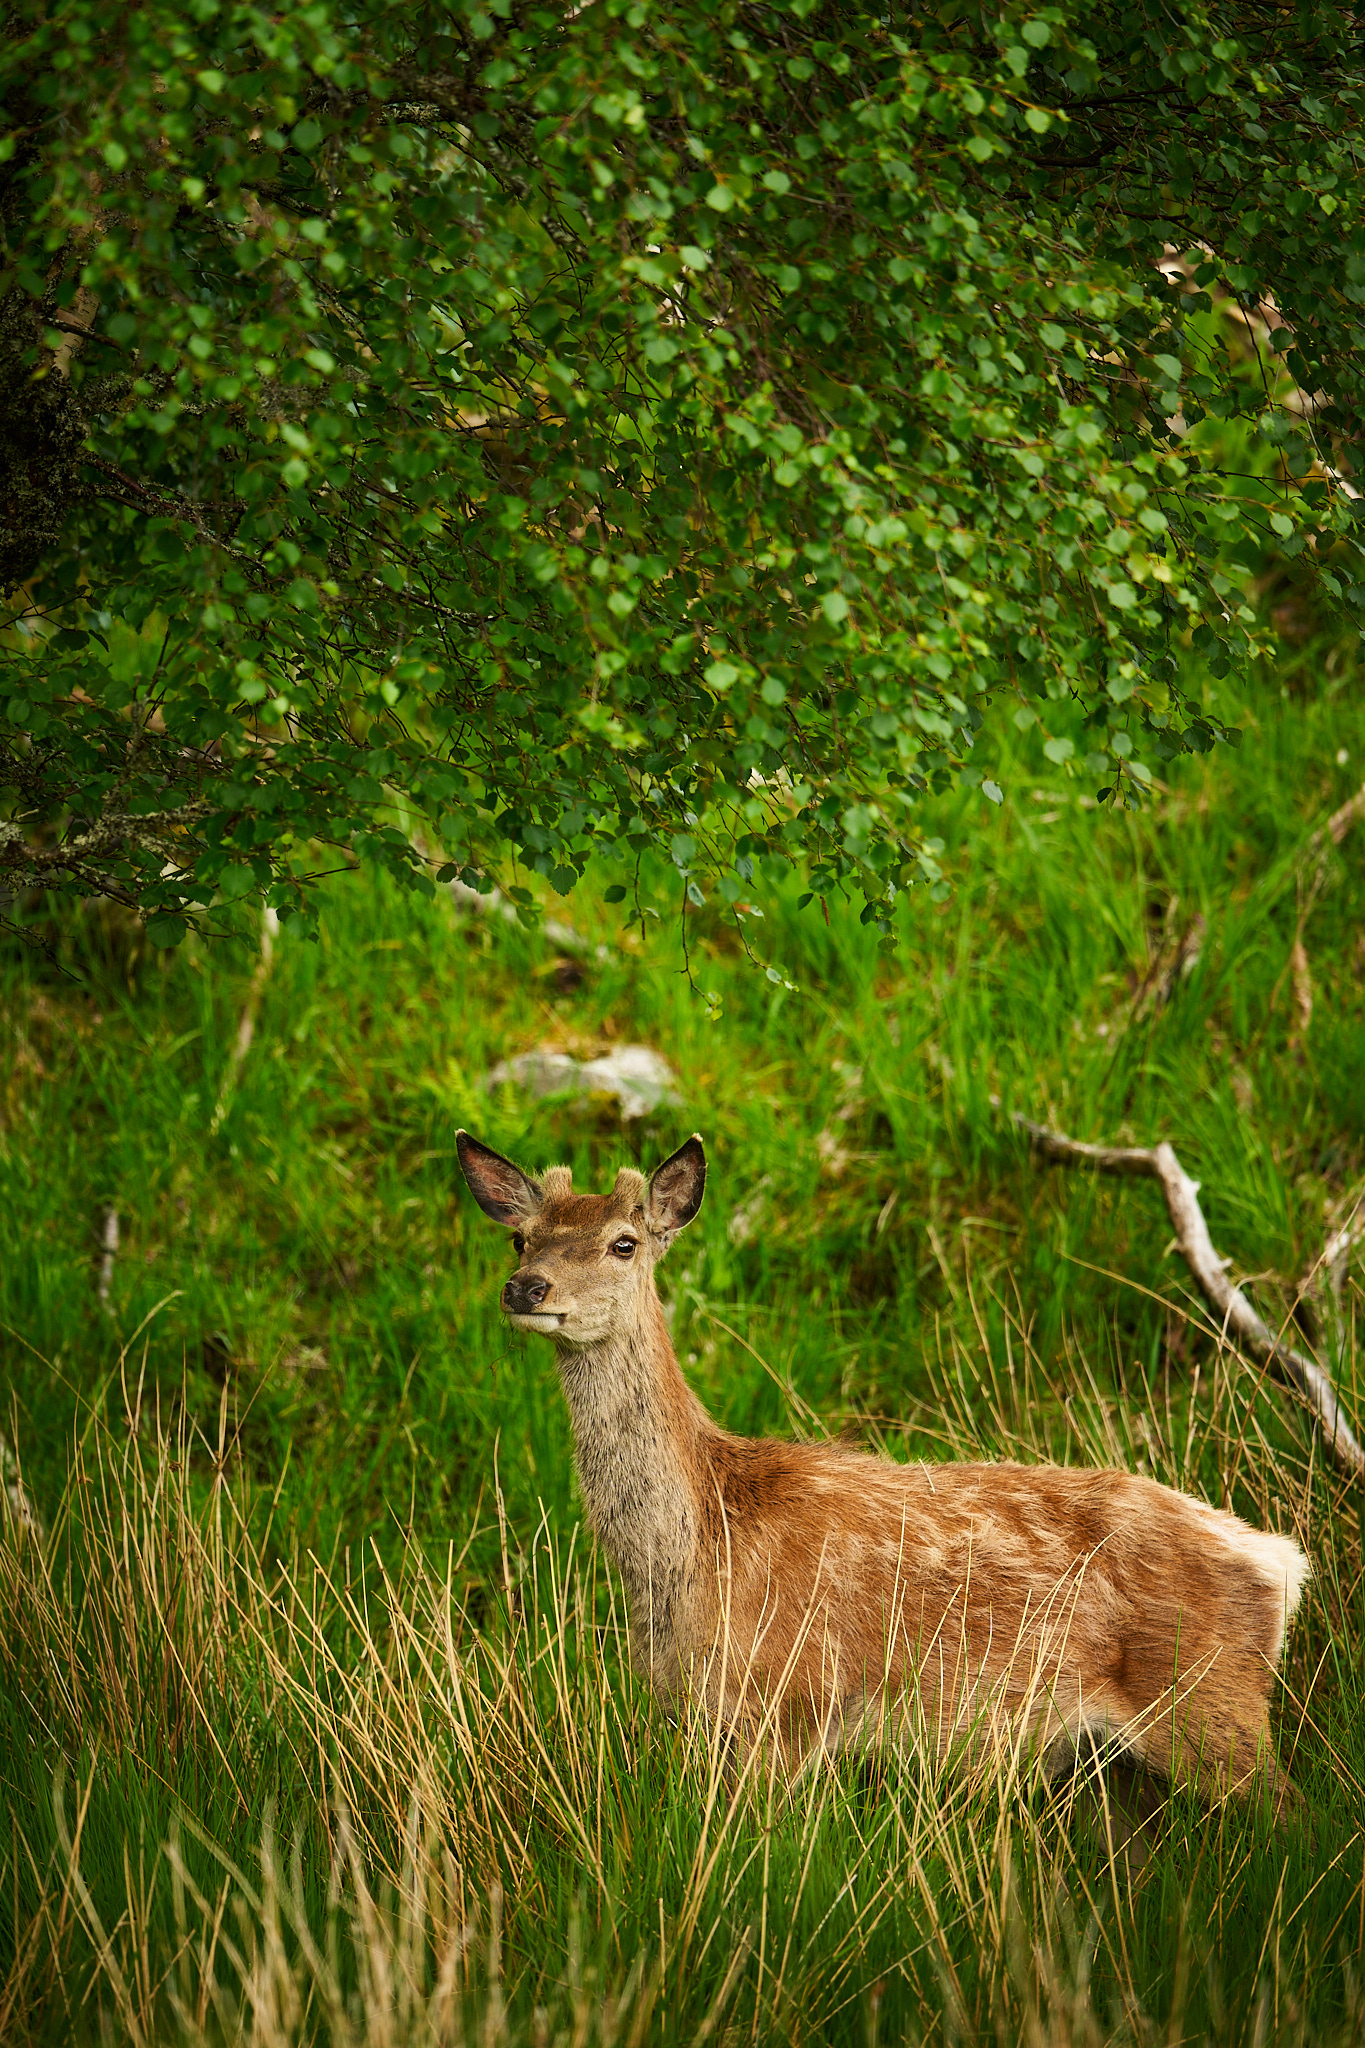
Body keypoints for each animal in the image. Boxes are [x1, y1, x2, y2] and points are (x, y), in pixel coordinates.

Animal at [457, 1129, 1309, 1815]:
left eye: (624, 1242)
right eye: (520, 1239)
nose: (526, 1288)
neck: (697, 1546)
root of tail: (1279, 1564)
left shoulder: (784, 1706)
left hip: (1210, 1703)